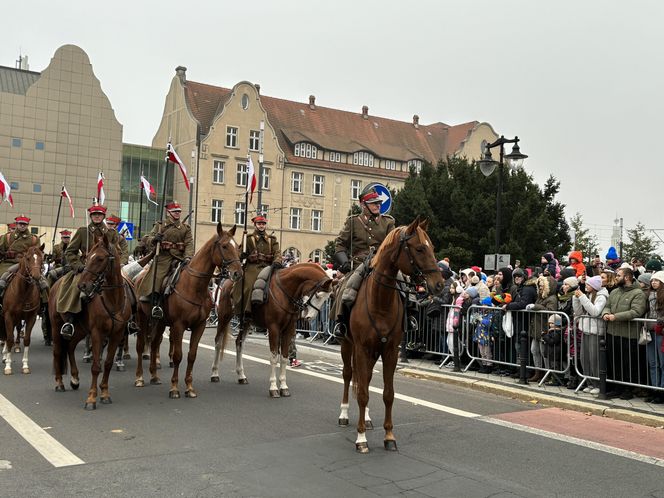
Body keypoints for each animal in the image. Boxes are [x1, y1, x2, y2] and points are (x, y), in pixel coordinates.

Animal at [0, 245, 44, 374]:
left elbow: (27, 340)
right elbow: (9, 339)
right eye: (28, 258)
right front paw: (8, 366)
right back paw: (5, 355)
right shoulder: (8, 316)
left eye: (42, 258)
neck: (24, 291)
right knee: (5, 335)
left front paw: (25, 365)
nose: (36, 277)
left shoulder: (31, 317)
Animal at [49, 231, 131, 410]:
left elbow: (107, 364)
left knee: (70, 347)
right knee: (58, 351)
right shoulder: (96, 333)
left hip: (80, 330)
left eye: (100, 258)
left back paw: (74, 379)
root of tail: (57, 283)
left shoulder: (117, 334)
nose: (82, 286)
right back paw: (59, 383)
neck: (112, 300)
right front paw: (91, 398)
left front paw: (105, 394)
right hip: (56, 326)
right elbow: (95, 366)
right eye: (87, 258)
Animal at [134, 224, 241, 398]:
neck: (195, 286)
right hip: (141, 317)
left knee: (155, 343)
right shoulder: (179, 325)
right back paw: (139, 378)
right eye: (225, 246)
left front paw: (189, 387)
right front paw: (174, 388)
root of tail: (140, 276)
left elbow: (192, 355)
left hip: (160, 322)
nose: (238, 273)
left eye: (238, 247)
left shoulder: (200, 326)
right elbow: (178, 355)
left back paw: (154, 376)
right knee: (141, 344)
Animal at [211, 260, 334, 396]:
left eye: (326, 298)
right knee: (218, 342)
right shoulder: (274, 328)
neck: (284, 292)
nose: (309, 317)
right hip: (224, 316)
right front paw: (274, 387)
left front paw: (284, 386)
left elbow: (284, 357)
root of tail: (228, 280)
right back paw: (215, 373)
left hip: (246, 321)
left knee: (239, 343)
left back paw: (241, 375)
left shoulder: (289, 329)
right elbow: (274, 358)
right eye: (318, 295)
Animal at [340, 217, 444, 452]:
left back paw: (368, 420)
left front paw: (388, 436)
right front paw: (361, 438)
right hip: (347, 345)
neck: (380, 301)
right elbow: (362, 394)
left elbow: (388, 394)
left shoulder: (390, 351)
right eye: (420, 248)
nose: (439, 284)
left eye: (433, 247)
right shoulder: (361, 349)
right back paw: (344, 414)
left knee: (366, 379)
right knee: (349, 375)